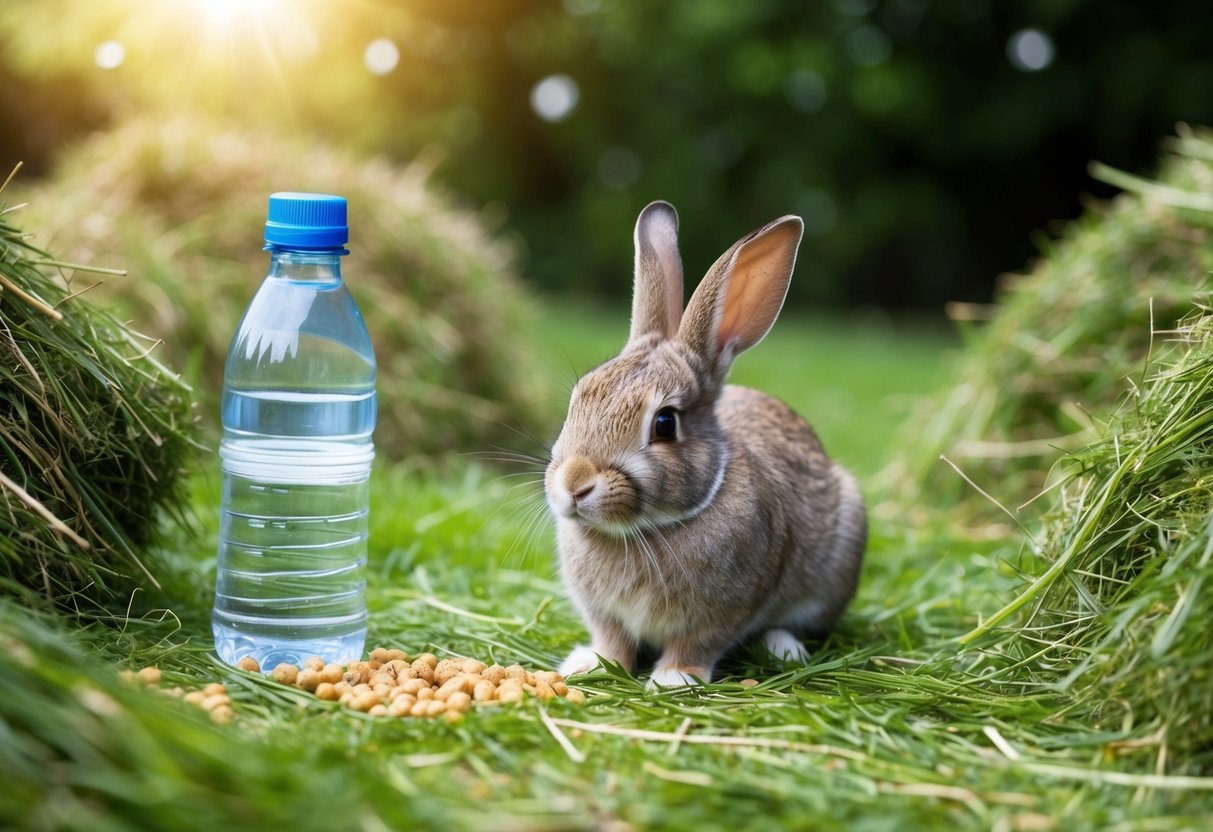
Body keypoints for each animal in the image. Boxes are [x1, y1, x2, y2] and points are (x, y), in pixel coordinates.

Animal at [545, 200, 867, 687]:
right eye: (578, 396)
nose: (574, 483)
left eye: (664, 423)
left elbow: (697, 643)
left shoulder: (726, 611)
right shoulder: (604, 614)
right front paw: (591, 664)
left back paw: (784, 649)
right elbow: (613, 640)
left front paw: (674, 678)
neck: (647, 529)